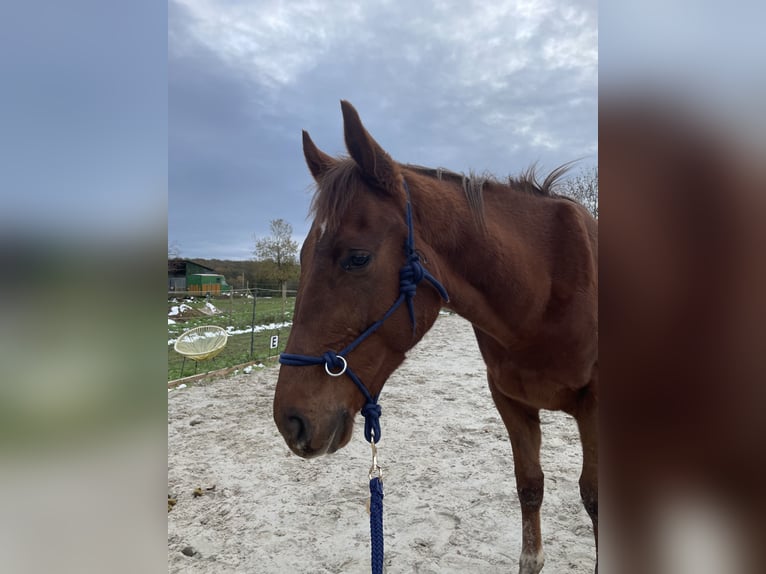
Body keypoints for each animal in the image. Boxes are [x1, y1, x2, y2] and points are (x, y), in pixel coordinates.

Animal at [272, 101, 600, 572]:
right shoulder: (511, 402)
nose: (290, 420)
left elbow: (594, 500)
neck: (543, 290)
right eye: (301, 256)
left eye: (357, 258)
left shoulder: (594, 409)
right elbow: (530, 485)